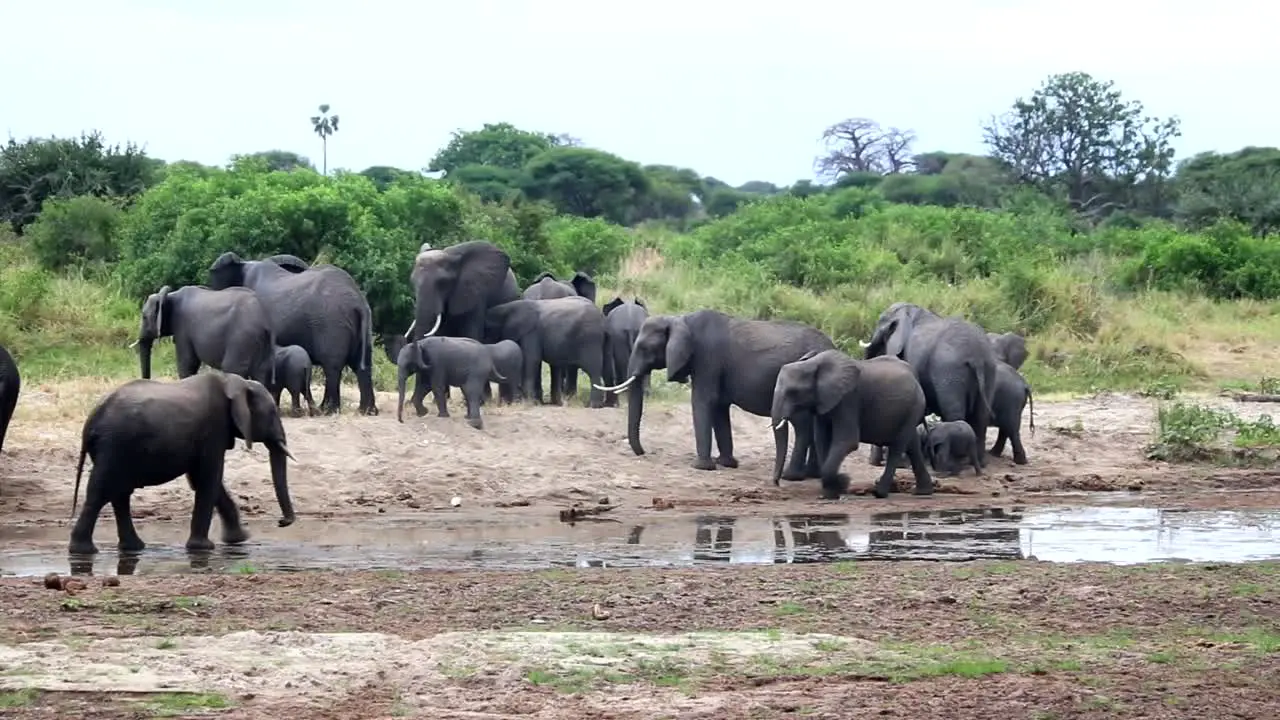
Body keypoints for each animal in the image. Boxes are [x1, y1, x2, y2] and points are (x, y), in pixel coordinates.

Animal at [129, 285, 275, 386]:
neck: (170, 296)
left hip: (242, 338)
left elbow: (187, 363)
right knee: (262, 374)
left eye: (144, 317)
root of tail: (264, 321)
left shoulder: (183, 327)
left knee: (232, 368)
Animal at [860, 302, 998, 466]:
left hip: (949, 373)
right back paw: (977, 462)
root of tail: (977, 357)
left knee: (954, 412)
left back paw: (955, 462)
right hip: (989, 371)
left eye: (881, 321)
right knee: (981, 416)